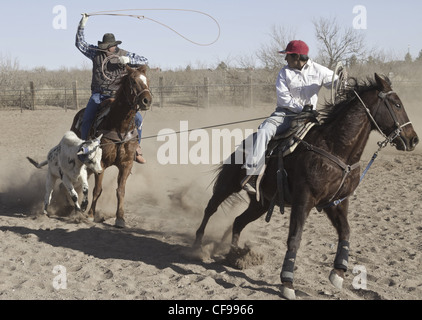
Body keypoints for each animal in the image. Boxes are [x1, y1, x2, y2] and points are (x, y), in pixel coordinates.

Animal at [70, 65, 152, 228]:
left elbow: (120, 190)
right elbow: (97, 189)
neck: (119, 127)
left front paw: (120, 218)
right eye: (133, 81)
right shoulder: (100, 163)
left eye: (148, 81)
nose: (147, 100)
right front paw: (90, 215)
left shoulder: (126, 164)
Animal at [194, 74, 418, 298]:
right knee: (210, 208)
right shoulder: (304, 200)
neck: (335, 149)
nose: (413, 139)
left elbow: (345, 232)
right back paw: (198, 245)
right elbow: (295, 238)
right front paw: (287, 283)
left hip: (261, 204)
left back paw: (235, 255)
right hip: (227, 185)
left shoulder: (336, 202)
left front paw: (338, 273)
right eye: (397, 104)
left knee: (238, 221)